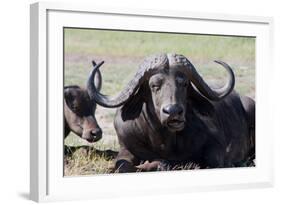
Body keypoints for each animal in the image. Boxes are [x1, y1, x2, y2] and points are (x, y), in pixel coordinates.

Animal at [88, 53, 255, 172]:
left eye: (184, 83)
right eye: (154, 85)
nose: (173, 111)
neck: (164, 140)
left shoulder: (216, 148)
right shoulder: (125, 148)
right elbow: (123, 166)